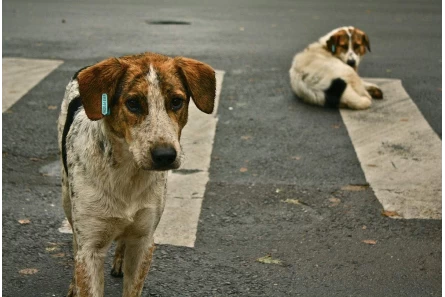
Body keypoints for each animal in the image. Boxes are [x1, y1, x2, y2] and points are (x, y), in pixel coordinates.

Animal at [56, 53, 216, 296]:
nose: (165, 155)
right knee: (75, 239)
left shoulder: (144, 241)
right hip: (67, 197)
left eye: (176, 101)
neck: (127, 174)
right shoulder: (91, 247)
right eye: (133, 103)